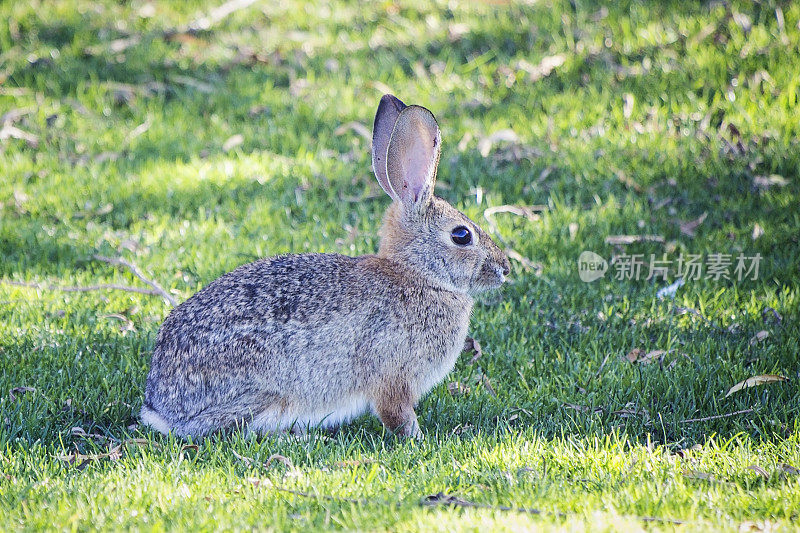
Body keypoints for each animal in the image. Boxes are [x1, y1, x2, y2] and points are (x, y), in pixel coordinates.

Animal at [140, 94, 510, 436]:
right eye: (461, 235)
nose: (505, 268)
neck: (418, 274)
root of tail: (160, 407)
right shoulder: (393, 378)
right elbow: (398, 415)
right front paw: (418, 439)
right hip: (265, 390)